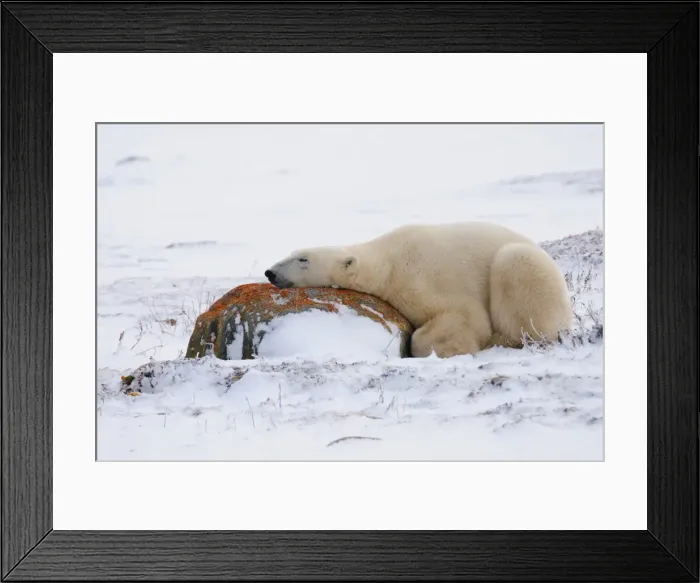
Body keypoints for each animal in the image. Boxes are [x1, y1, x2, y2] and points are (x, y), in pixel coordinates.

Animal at [264, 222, 572, 358]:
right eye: (292, 253)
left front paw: (447, 348)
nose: (270, 272)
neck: (387, 262)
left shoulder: (423, 276)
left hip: (528, 269)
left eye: (303, 259)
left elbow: (467, 316)